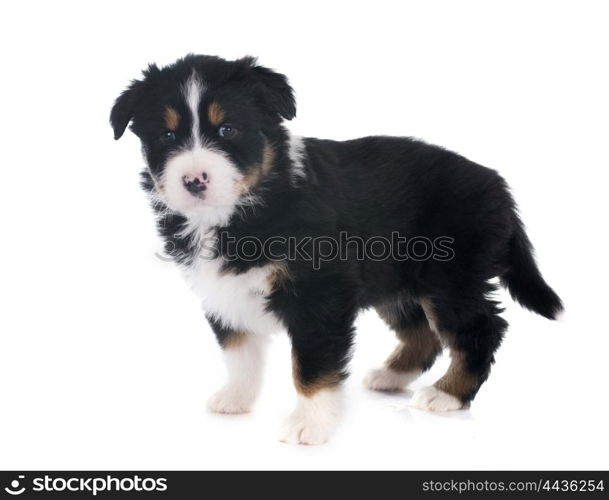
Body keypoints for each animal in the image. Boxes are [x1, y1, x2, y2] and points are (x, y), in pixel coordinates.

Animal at [109, 54, 560, 446]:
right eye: (167, 136)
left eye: (227, 131)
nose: (194, 180)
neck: (246, 207)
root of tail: (499, 187)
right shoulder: (224, 291)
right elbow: (239, 351)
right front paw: (235, 398)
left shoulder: (319, 293)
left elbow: (312, 364)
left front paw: (307, 425)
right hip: (398, 281)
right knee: (422, 333)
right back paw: (390, 376)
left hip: (450, 278)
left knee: (480, 329)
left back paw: (446, 395)